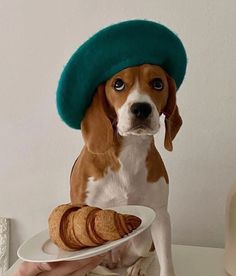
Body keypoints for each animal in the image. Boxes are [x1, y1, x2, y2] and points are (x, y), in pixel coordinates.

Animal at [69, 63, 182, 276]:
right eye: (118, 84)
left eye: (158, 83)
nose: (141, 108)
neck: (130, 149)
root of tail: (117, 260)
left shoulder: (161, 215)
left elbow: (166, 262)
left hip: (144, 240)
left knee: (150, 253)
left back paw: (138, 266)